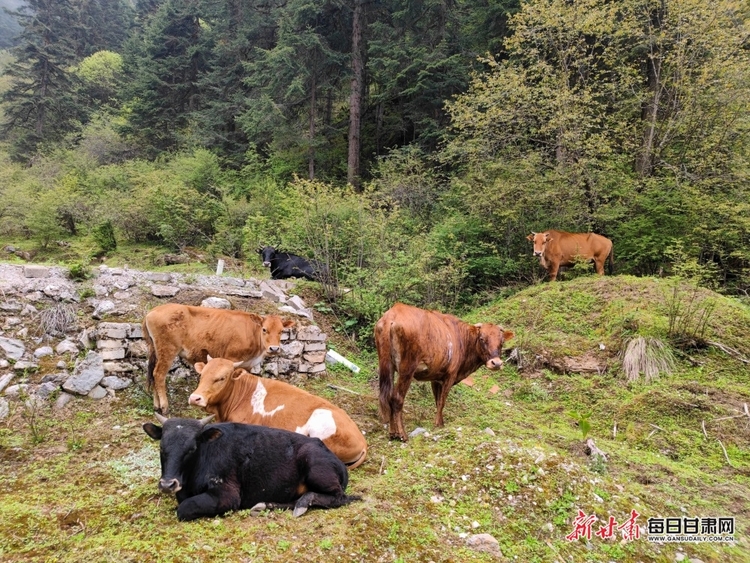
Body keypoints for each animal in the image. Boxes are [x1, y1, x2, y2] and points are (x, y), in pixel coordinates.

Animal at [142, 306, 296, 416]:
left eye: (281, 331)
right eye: (264, 329)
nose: (274, 348)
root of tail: (154, 310)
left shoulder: (247, 365)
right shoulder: (231, 358)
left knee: (153, 374)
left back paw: (156, 405)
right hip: (167, 350)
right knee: (159, 375)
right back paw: (164, 407)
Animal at [145, 412, 364, 524]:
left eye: (192, 448)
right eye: (162, 447)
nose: (168, 484)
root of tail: (338, 461)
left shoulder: (227, 495)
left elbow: (184, 508)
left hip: (317, 470)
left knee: (339, 498)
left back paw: (303, 503)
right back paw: (264, 505)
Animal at [378, 302, 516, 442]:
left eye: (502, 341)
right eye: (482, 338)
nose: (496, 363)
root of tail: (394, 311)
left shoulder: (436, 378)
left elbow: (437, 400)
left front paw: (440, 423)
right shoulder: (450, 375)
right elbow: (442, 401)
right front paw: (439, 424)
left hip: (387, 365)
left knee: (388, 396)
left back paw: (392, 433)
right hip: (407, 369)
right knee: (397, 398)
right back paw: (402, 435)